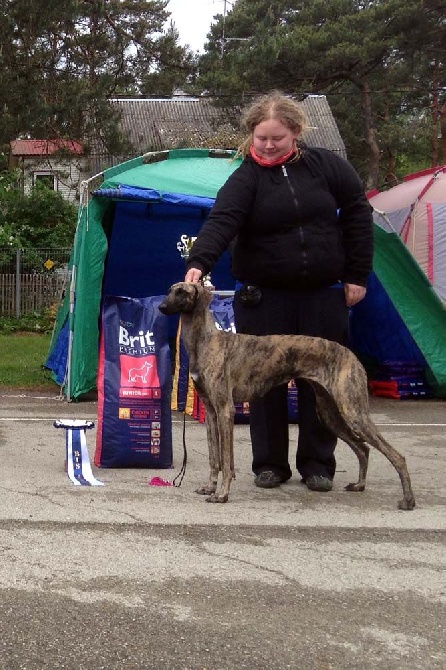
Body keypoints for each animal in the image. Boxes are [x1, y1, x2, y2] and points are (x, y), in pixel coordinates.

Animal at [159, 280, 416, 512]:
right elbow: (215, 458)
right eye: (170, 290)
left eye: (182, 292)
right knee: (363, 449)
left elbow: (226, 461)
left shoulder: (225, 409)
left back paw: (408, 500)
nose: (161, 307)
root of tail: (352, 356)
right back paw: (360, 485)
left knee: (396, 456)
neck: (206, 340)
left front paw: (222, 494)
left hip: (352, 411)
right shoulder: (211, 412)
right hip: (330, 413)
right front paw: (210, 488)